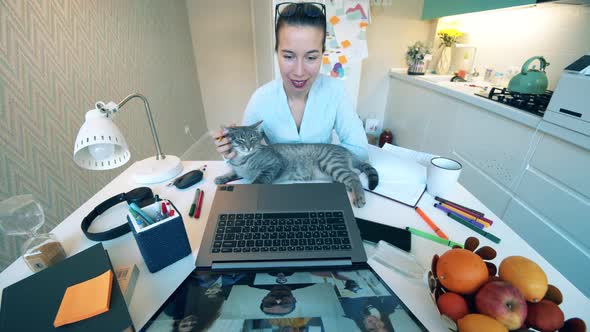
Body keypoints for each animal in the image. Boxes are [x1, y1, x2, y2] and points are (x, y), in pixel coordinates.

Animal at [216, 120, 380, 206]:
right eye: (240, 139)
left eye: (253, 138)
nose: (249, 146)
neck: (243, 160)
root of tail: (347, 151)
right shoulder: (237, 168)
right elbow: (232, 171)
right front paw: (222, 177)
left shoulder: (273, 165)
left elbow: (258, 181)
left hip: (331, 163)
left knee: (354, 176)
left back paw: (358, 197)